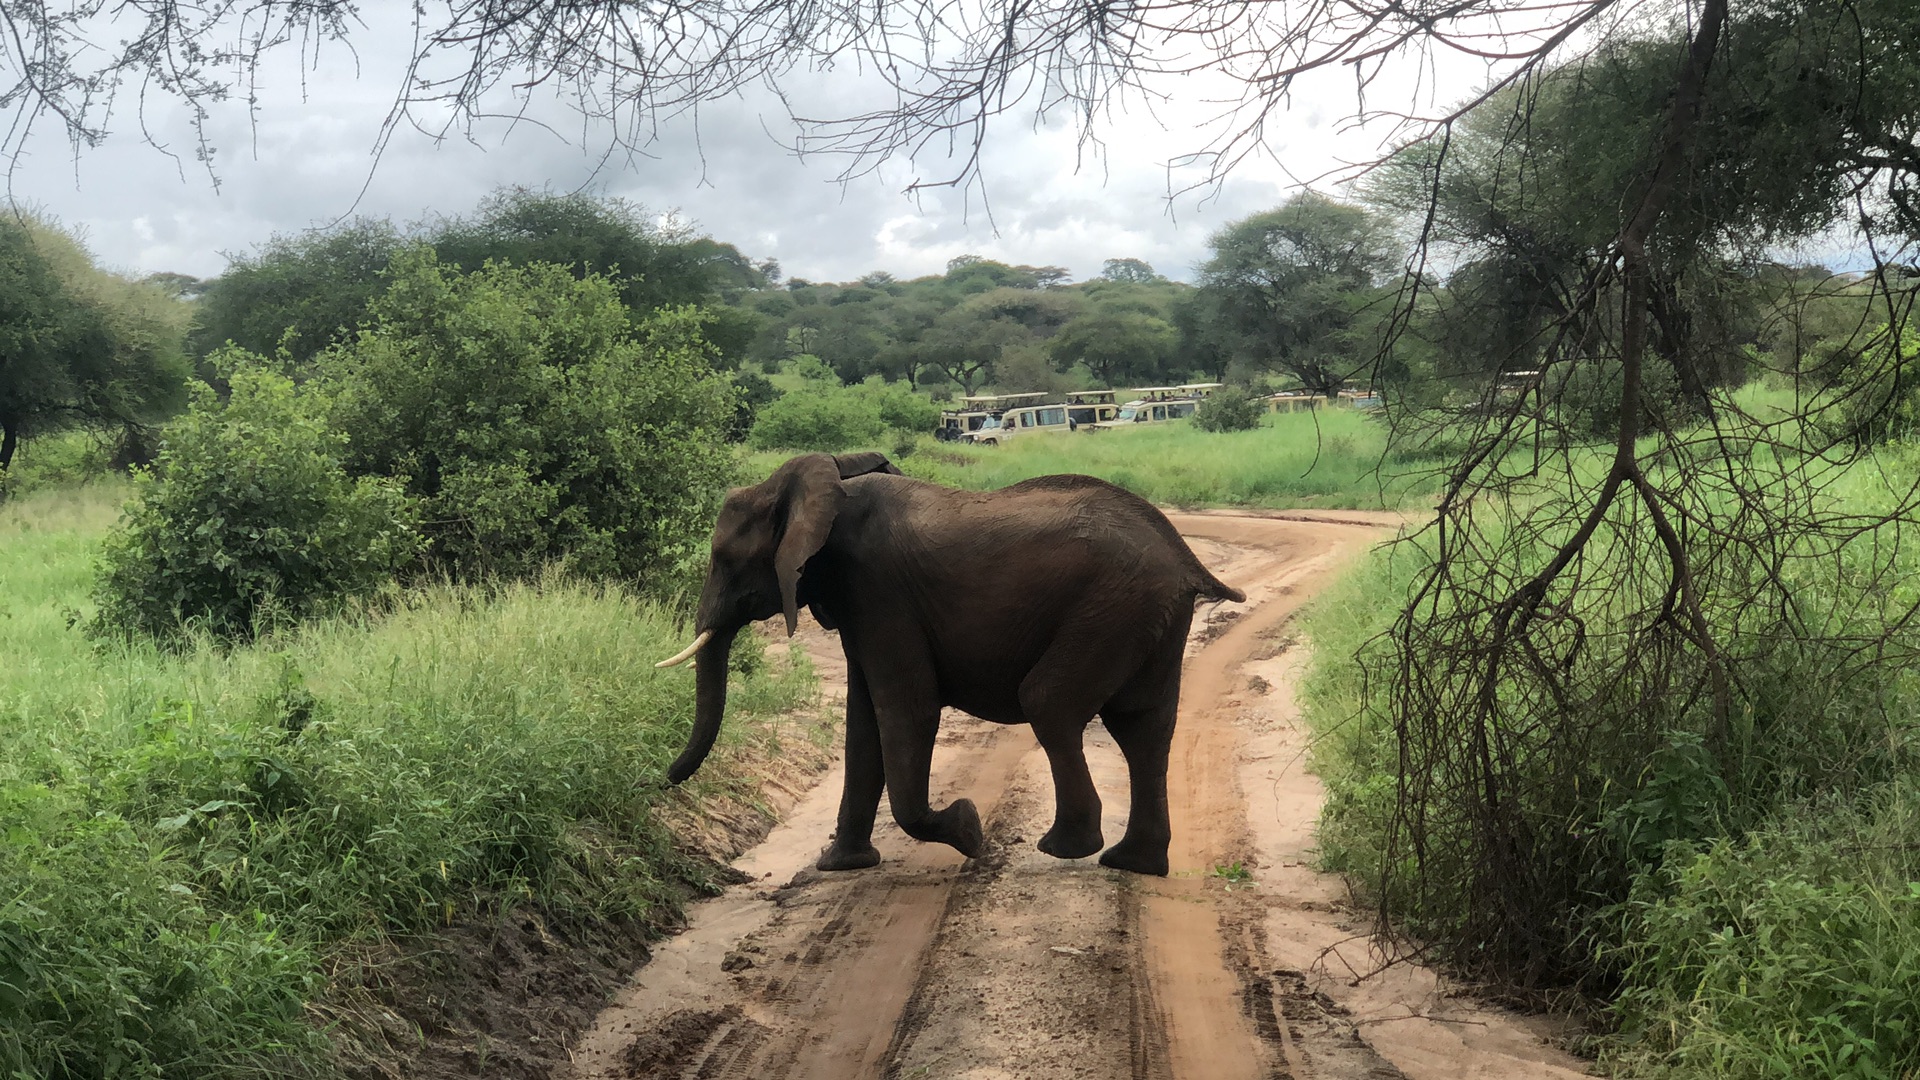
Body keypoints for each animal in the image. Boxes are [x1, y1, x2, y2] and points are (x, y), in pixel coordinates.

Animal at [660, 449, 1244, 868]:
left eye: (723, 558)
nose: (663, 778)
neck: (826, 486)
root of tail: (1186, 558)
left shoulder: (878, 591)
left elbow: (906, 711)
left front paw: (968, 830)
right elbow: (863, 724)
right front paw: (841, 866)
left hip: (1113, 607)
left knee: (1049, 702)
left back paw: (1064, 849)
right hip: (1146, 615)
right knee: (1143, 725)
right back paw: (1131, 864)